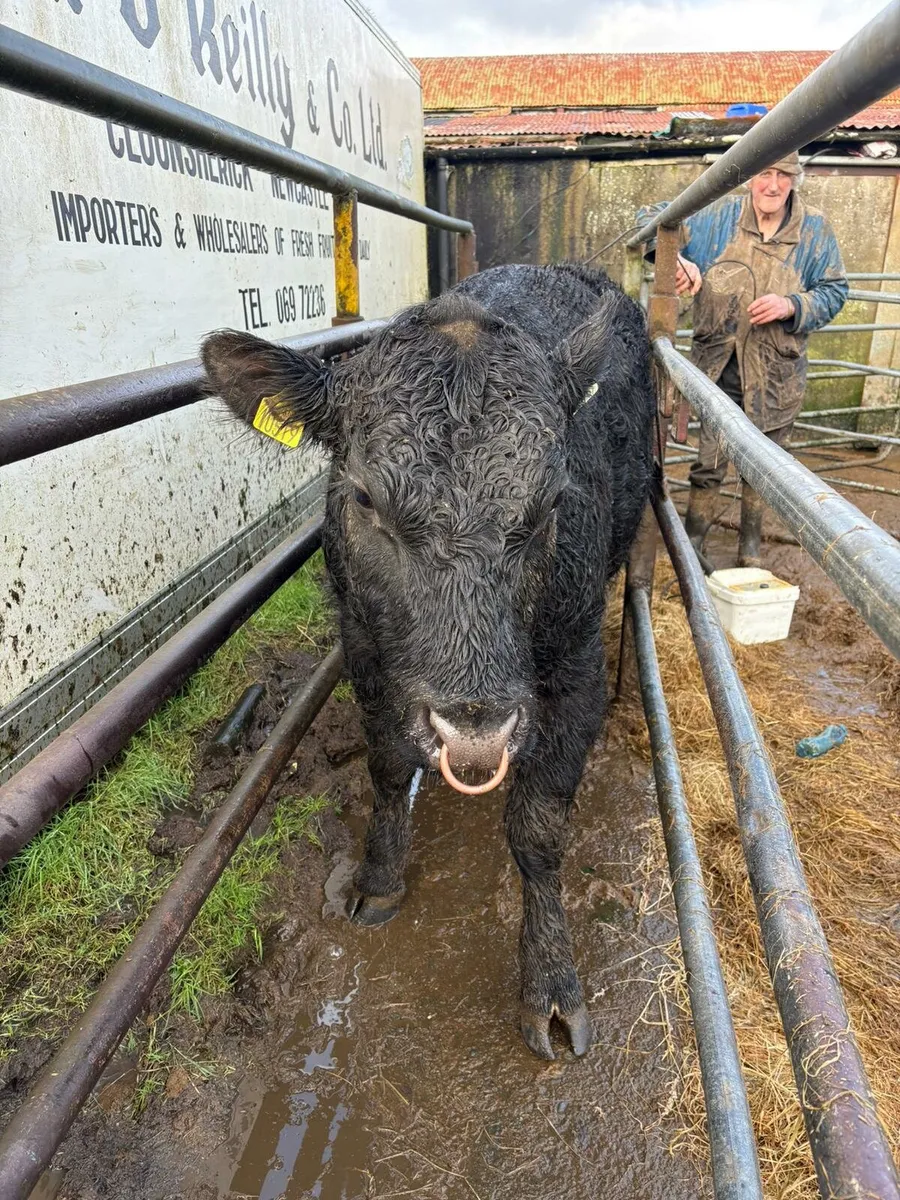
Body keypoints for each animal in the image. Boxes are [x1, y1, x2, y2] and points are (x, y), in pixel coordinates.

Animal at [202, 263, 655, 1059]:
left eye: (550, 502)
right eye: (363, 497)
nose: (474, 730)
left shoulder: (575, 674)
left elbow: (539, 830)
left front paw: (550, 980)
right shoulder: (365, 652)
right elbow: (387, 766)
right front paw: (377, 878)